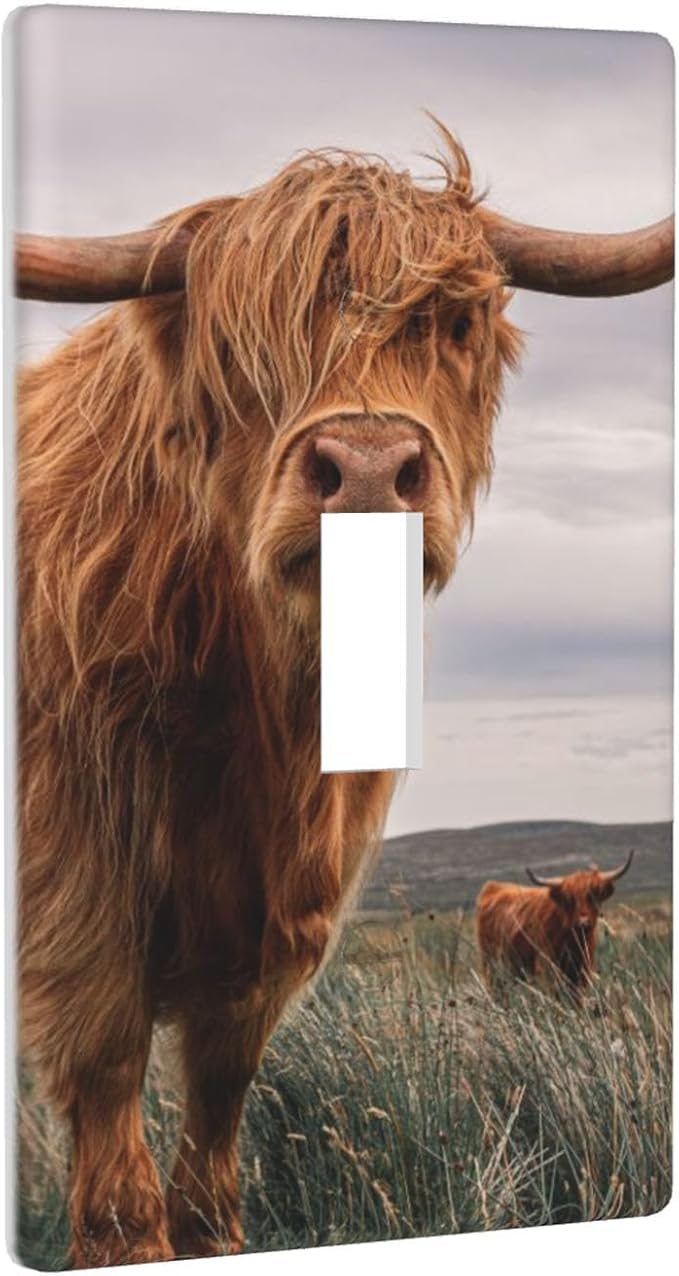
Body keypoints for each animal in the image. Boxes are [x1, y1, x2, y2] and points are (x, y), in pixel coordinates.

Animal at [476, 850, 635, 998]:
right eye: (569, 900)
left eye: (593, 896)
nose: (583, 923)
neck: (572, 943)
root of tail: (493, 887)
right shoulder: (548, 971)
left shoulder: (582, 973)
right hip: (492, 966)